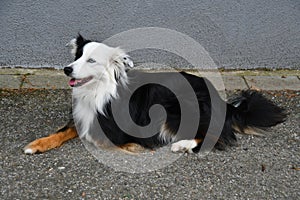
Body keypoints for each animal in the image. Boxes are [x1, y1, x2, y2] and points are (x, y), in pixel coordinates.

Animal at [23, 34, 286, 154]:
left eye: (91, 60)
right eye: (77, 56)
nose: (66, 69)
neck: (98, 90)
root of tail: (223, 102)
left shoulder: (111, 130)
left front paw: (134, 147)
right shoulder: (83, 117)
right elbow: (63, 130)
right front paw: (37, 144)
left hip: (179, 106)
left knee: (215, 135)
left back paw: (181, 144)